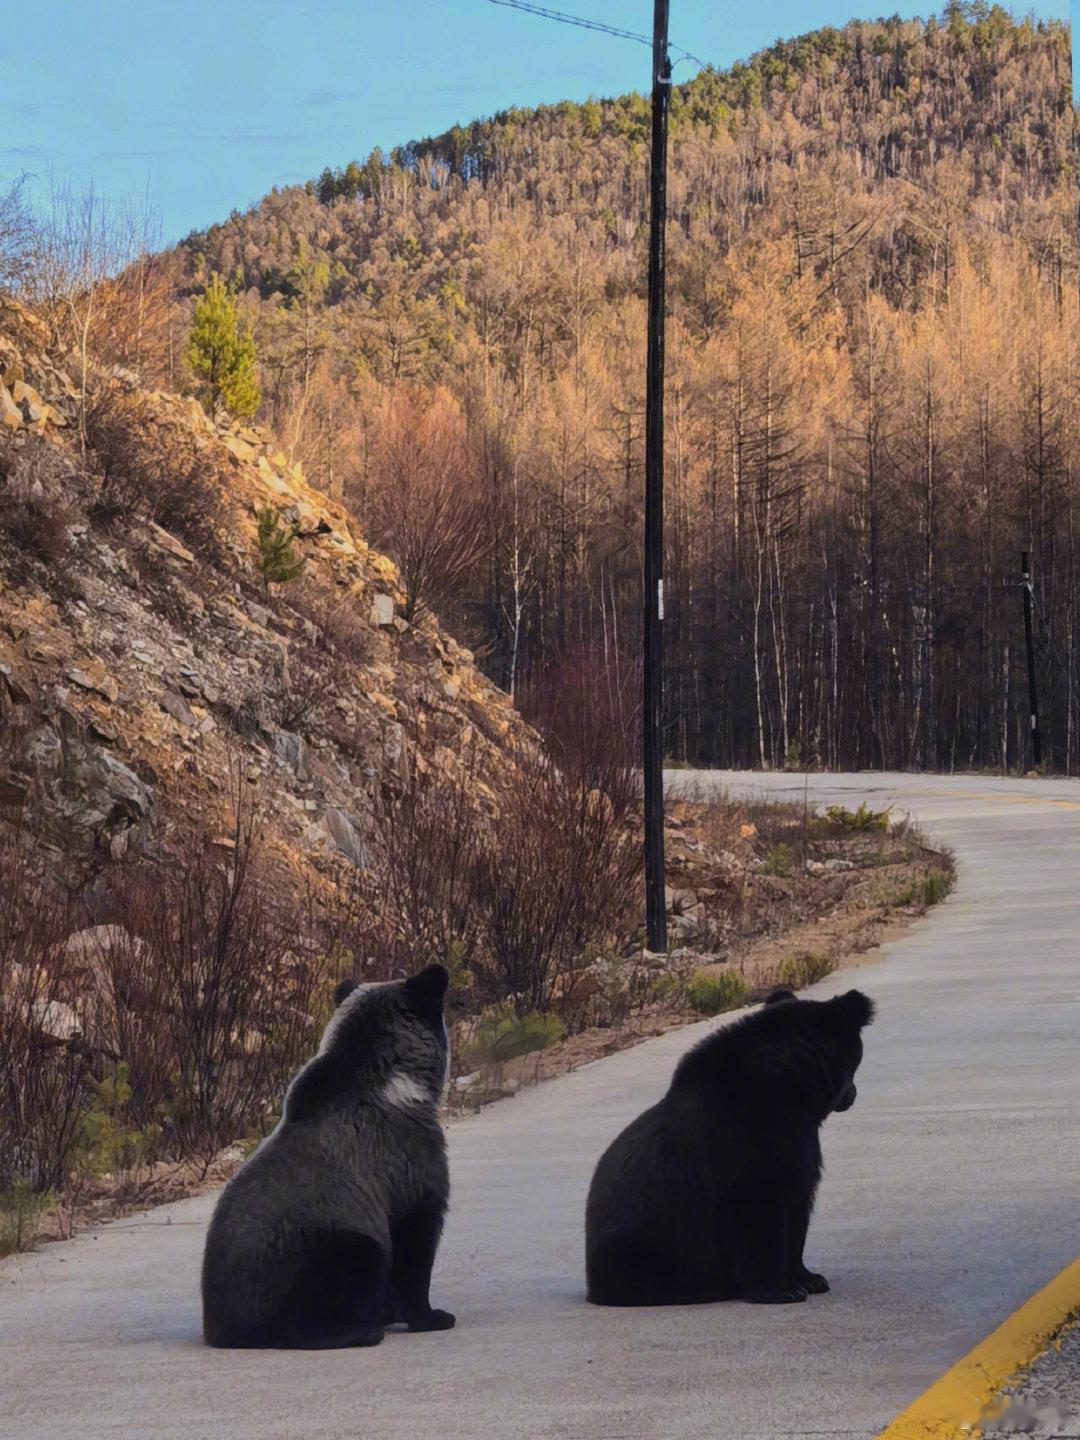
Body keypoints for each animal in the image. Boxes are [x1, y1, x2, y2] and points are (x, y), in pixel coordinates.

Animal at [201, 964, 455, 1348]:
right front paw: (430, 1316)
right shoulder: (409, 1170)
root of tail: (226, 1328)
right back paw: (360, 1331)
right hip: (325, 1245)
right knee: (340, 1278)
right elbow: (415, 1248)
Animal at [585, 986, 874, 1307]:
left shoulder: (799, 1144)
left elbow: (798, 1206)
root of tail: (593, 1286)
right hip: (646, 1248)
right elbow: (753, 1209)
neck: (790, 1094)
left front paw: (809, 1278)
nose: (852, 1094)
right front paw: (779, 1289)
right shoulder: (741, 1140)